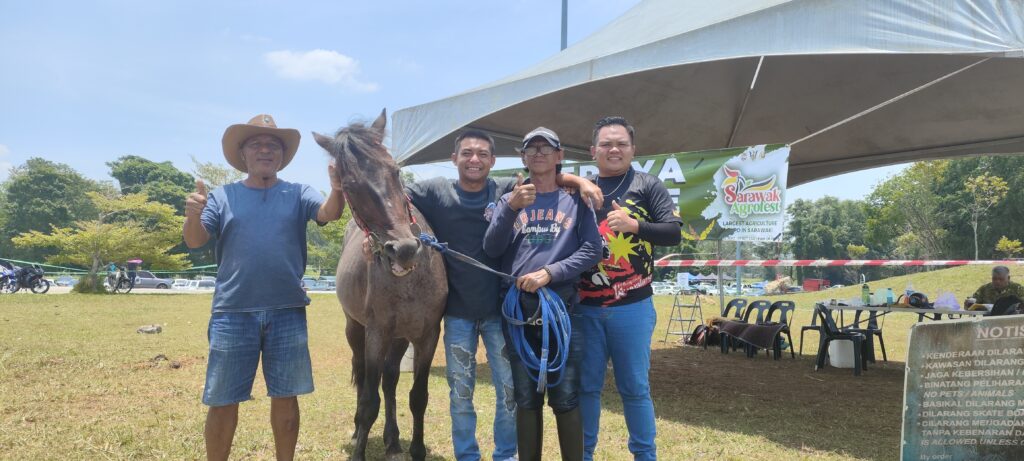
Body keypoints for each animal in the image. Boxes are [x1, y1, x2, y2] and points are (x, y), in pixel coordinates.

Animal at [314, 110, 447, 461]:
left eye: (396, 170)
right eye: (349, 185)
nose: (403, 248)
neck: (409, 280)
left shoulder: (427, 335)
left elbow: (418, 396)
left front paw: (416, 449)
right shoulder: (376, 332)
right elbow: (369, 400)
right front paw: (359, 449)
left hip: (399, 337)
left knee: (389, 379)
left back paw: (393, 439)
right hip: (356, 329)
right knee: (363, 377)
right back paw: (359, 430)